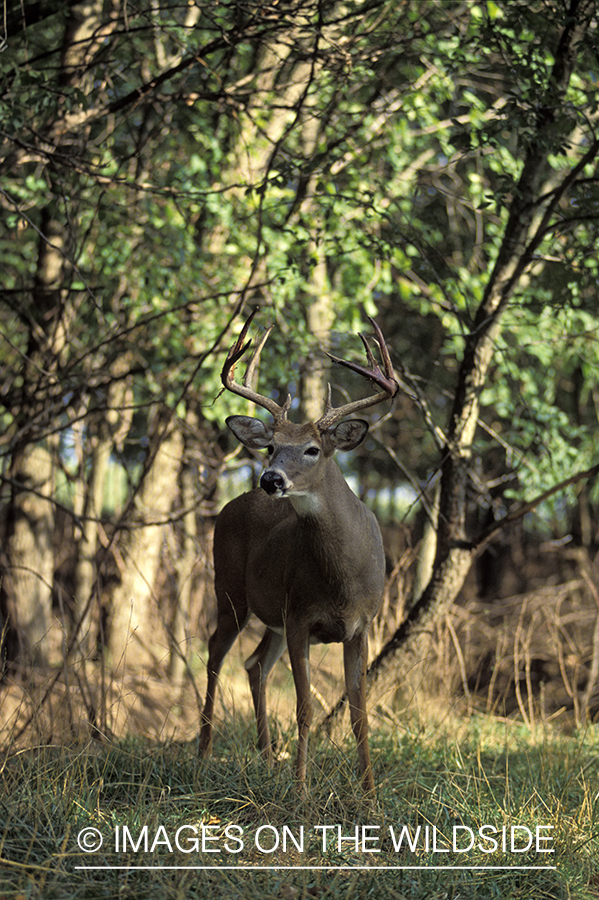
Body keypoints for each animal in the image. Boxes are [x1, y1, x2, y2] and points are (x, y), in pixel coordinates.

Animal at [200, 312, 398, 792]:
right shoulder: (300, 617)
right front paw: (302, 789)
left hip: (270, 613)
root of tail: (232, 503)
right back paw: (204, 753)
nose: (270, 479)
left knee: (254, 664)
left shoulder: (362, 624)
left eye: (312, 449)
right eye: (271, 446)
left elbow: (360, 715)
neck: (341, 580)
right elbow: (305, 707)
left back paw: (268, 758)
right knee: (216, 654)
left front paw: (369, 792)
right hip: (230, 591)